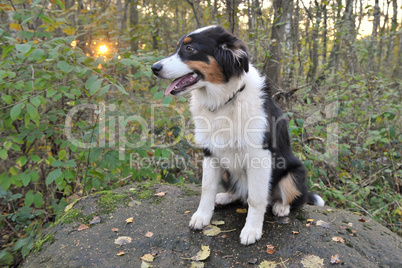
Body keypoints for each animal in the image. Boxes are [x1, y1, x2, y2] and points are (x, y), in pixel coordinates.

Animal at [151, 25, 324, 245]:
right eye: (178, 47)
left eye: (189, 49)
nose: (154, 68)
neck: (225, 100)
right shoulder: (210, 152)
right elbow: (207, 188)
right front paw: (202, 216)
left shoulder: (260, 156)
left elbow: (256, 198)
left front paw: (252, 230)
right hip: (227, 170)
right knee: (239, 193)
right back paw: (225, 197)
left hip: (295, 171)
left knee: (291, 198)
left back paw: (281, 206)